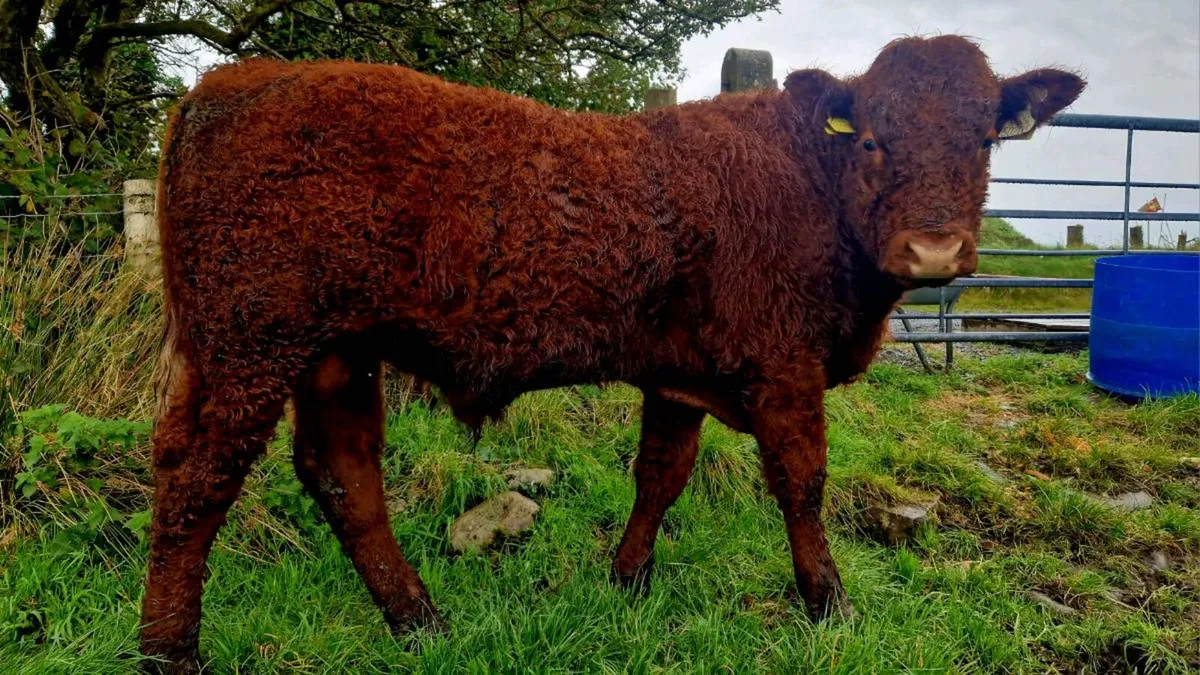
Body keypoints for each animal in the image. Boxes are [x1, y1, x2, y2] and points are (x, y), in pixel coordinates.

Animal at [140, 35, 1083, 671]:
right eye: (873, 137)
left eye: (985, 139)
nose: (934, 250)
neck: (809, 180)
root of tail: (236, 78)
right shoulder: (783, 364)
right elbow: (803, 482)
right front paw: (831, 605)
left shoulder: (681, 373)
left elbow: (660, 474)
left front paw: (627, 581)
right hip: (251, 343)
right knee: (195, 482)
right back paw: (170, 649)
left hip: (336, 350)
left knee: (342, 473)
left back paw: (419, 621)